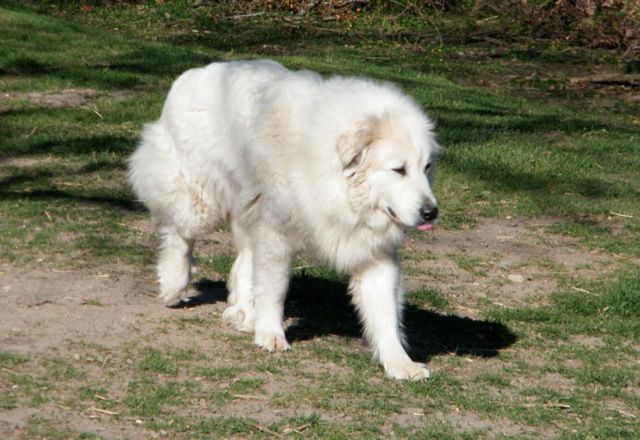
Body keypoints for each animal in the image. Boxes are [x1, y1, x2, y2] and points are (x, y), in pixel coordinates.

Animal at [130, 60, 440, 380]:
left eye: (427, 167)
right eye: (398, 170)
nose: (431, 212)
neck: (336, 184)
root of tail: (195, 72)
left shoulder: (374, 253)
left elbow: (386, 314)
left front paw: (400, 363)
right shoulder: (275, 235)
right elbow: (274, 289)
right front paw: (271, 334)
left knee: (242, 261)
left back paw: (244, 312)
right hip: (199, 202)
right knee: (179, 235)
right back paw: (174, 286)